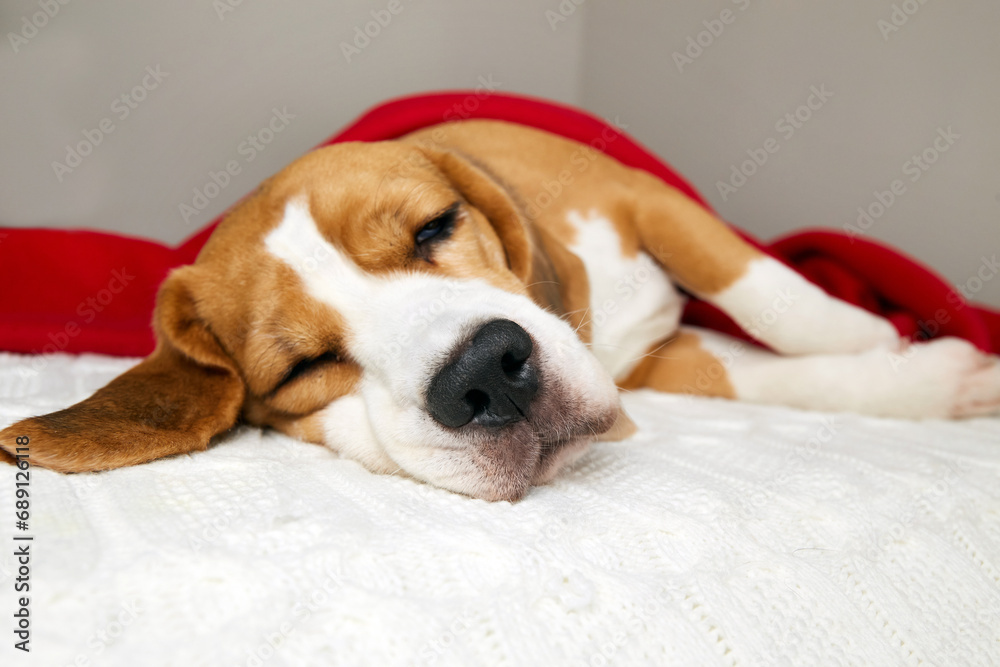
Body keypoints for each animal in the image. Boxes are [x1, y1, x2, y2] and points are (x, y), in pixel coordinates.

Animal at [1, 120, 1000, 498]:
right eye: (304, 367)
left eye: (435, 227)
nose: (487, 375)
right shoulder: (660, 362)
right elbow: (747, 373)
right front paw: (934, 379)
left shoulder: (644, 197)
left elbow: (767, 290)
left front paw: (874, 333)